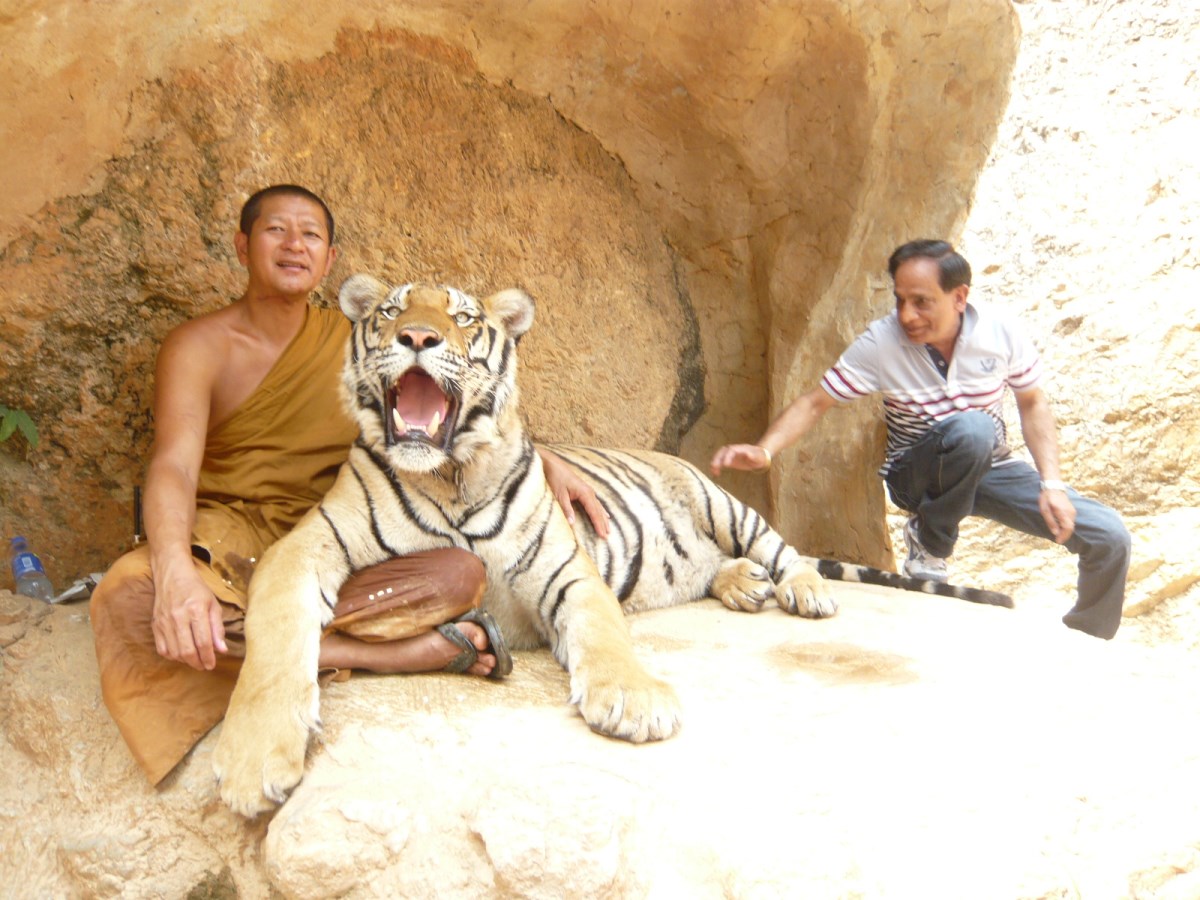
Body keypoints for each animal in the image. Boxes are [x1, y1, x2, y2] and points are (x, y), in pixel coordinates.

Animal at [211, 273, 1008, 816]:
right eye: (389, 312)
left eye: (461, 318)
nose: (417, 338)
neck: (450, 474)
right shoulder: (303, 549)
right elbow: (274, 645)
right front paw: (251, 762)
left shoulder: (567, 569)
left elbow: (604, 632)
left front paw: (634, 701)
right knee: (720, 568)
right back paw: (742, 587)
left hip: (723, 502)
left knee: (787, 551)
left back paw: (801, 592)